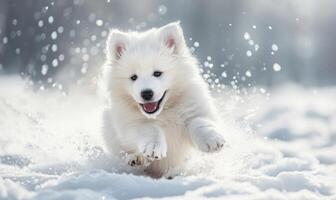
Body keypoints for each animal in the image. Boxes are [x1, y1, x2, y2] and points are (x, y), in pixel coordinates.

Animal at [100, 22, 226, 178]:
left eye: (157, 73)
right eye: (133, 77)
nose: (146, 93)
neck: (163, 112)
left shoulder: (195, 107)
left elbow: (199, 121)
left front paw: (212, 141)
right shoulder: (129, 123)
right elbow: (150, 129)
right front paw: (154, 148)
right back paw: (137, 159)